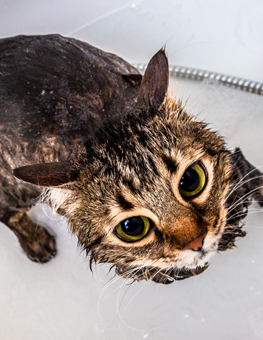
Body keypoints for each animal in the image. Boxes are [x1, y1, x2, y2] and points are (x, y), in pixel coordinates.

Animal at [0, 34, 262, 284]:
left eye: (190, 180)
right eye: (132, 227)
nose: (196, 241)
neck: (101, 122)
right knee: (8, 212)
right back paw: (36, 242)